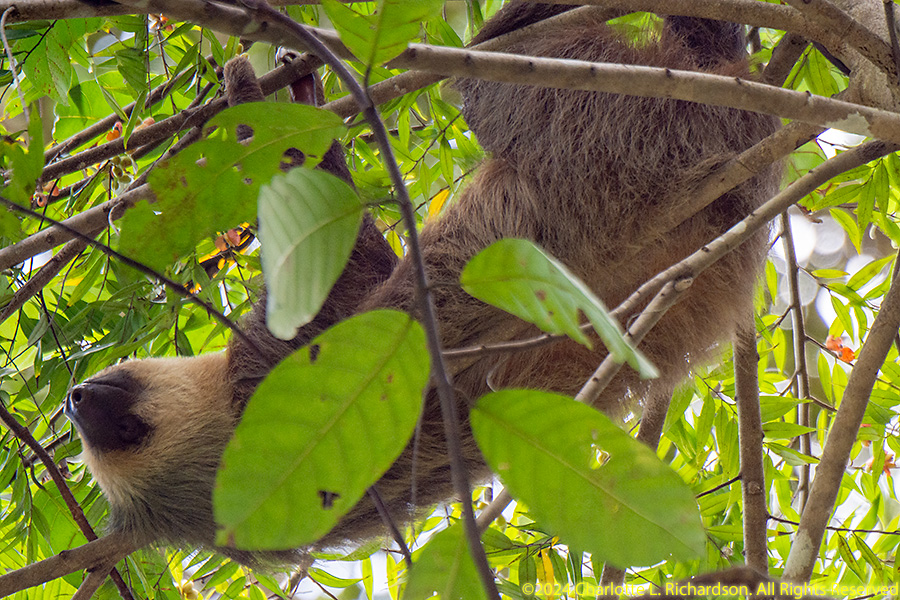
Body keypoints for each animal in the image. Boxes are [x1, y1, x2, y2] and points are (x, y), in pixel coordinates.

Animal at [66, 2, 782, 565]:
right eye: (119, 426)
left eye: (109, 400)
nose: (74, 397)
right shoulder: (271, 370)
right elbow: (339, 272)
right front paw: (258, 104)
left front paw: (295, 91)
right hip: (607, 134)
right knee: (506, 76)